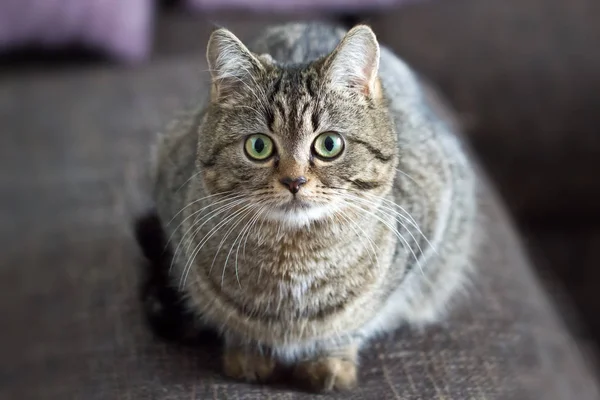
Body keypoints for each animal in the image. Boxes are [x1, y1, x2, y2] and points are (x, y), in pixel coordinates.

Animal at [148, 21, 476, 390]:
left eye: (329, 144)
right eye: (258, 146)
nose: (295, 181)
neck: (294, 259)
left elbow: (354, 320)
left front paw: (329, 360)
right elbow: (233, 321)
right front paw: (247, 352)